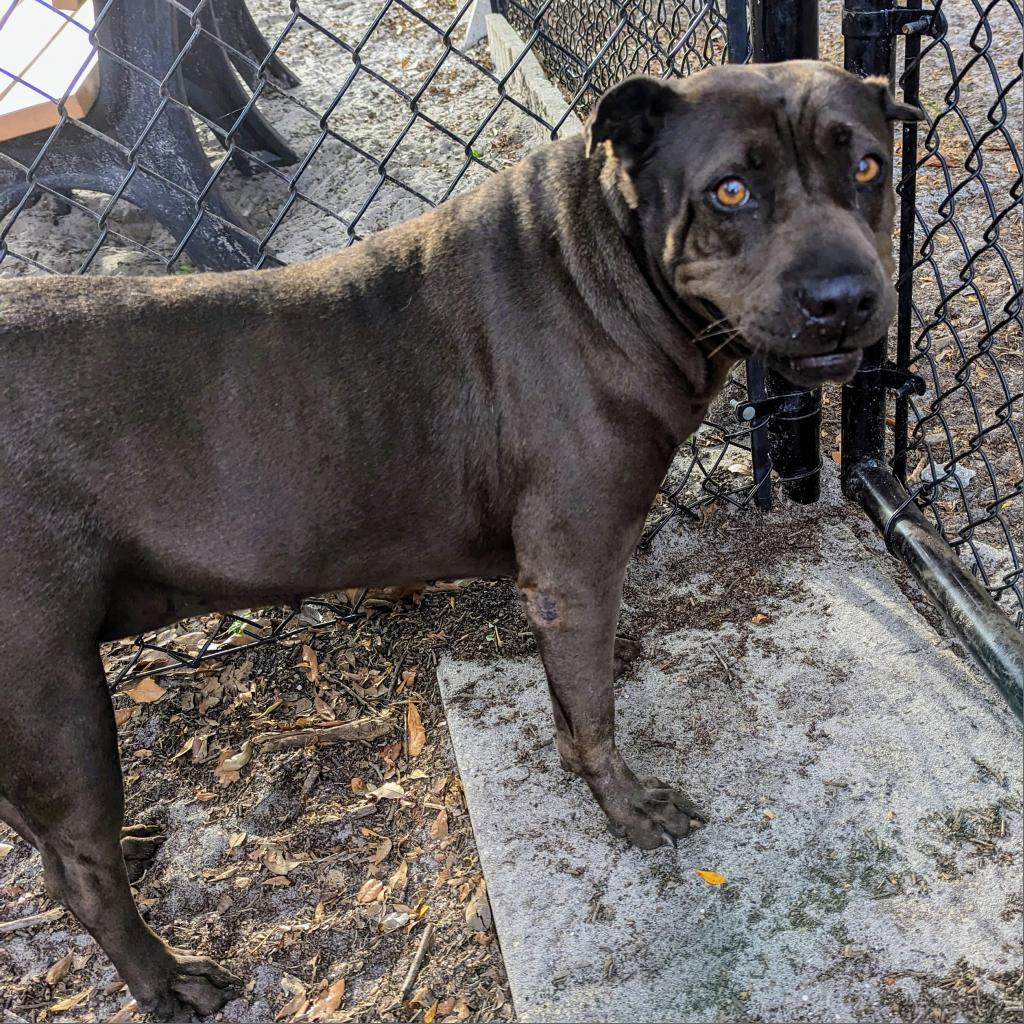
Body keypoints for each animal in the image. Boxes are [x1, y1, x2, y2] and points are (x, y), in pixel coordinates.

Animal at [0, 61, 921, 1015]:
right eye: (730, 190)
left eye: (867, 166)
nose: (845, 297)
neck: (604, 268)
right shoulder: (576, 572)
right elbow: (595, 714)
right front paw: (629, 811)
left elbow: (571, 702)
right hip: (54, 694)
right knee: (79, 875)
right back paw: (168, 980)